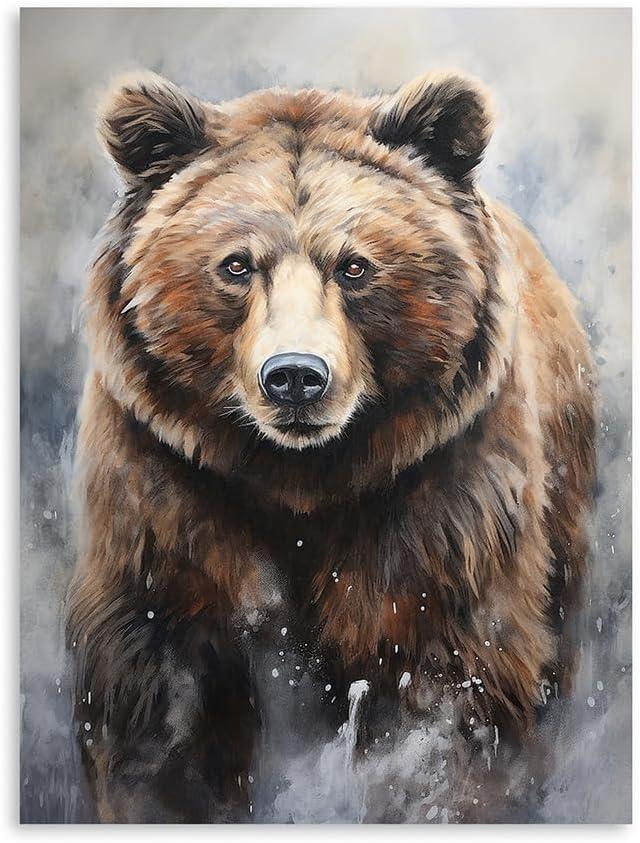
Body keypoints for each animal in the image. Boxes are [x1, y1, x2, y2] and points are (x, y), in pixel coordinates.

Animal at [66, 69, 595, 822]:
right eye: (236, 264)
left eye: (354, 266)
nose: (295, 375)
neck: (303, 480)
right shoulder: (165, 495)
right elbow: (159, 703)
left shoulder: (440, 505)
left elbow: (450, 694)